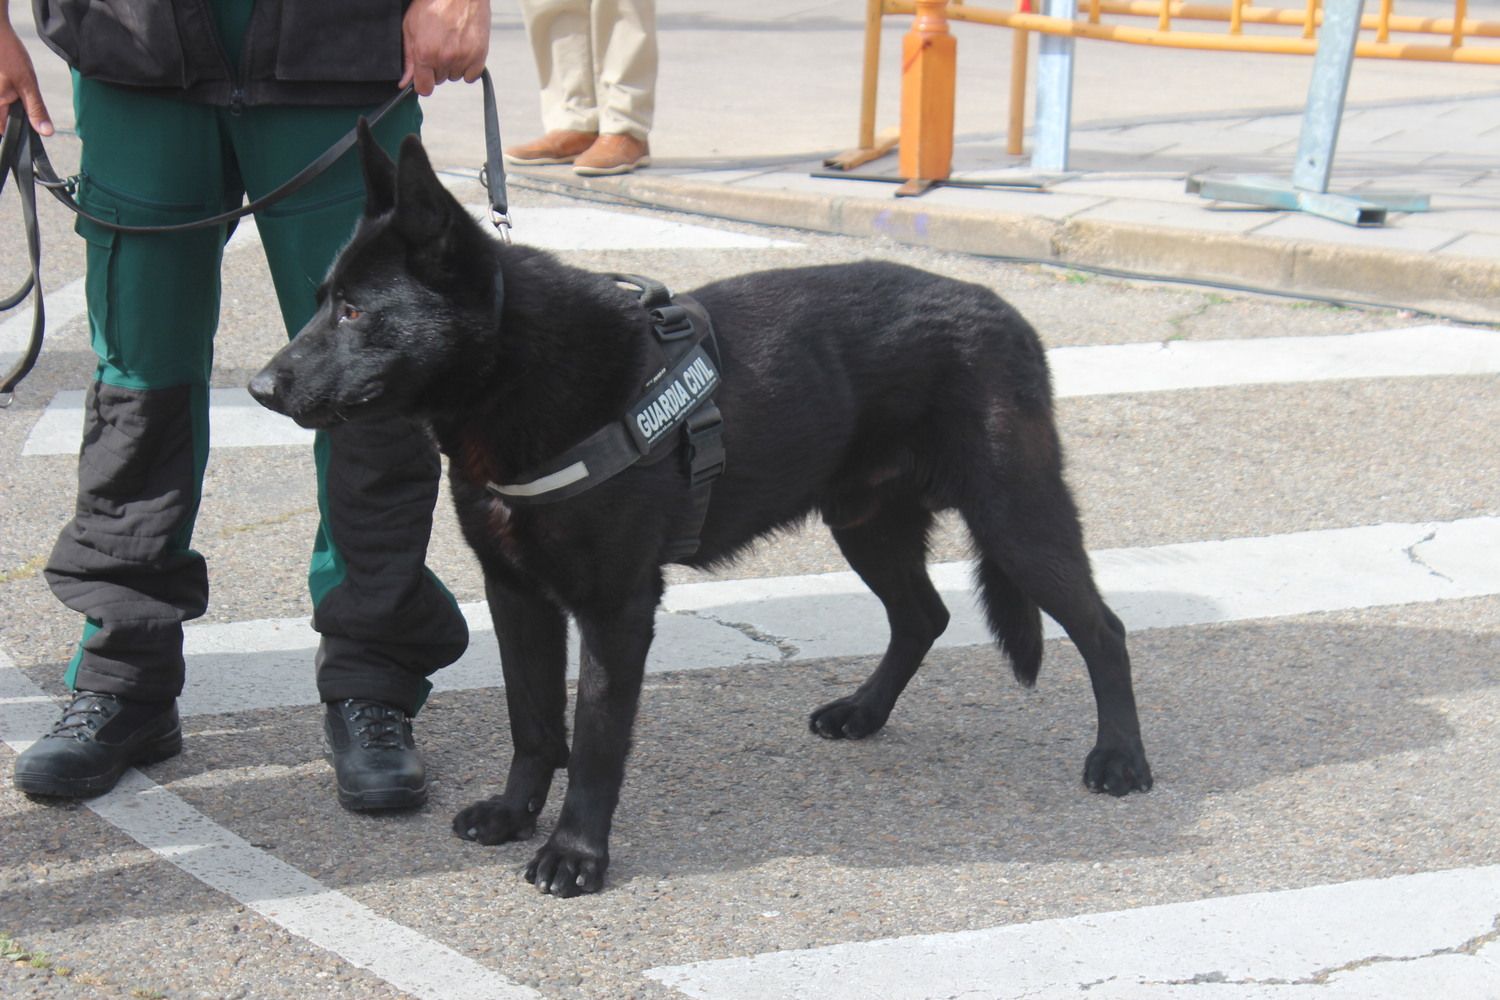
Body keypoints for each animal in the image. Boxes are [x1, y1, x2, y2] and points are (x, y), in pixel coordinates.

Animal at [252, 127, 1152, 899]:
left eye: (357, 311)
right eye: (322, 301)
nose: (261, 387)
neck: (518, 372)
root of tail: (1010, 314)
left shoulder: (617, 609)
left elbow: (596, 739)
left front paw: (576, 853)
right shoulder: (519, 600)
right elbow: (533, 722)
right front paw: (514, 814)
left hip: (1016, 518)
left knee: (1102, 628)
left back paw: (1120, 757)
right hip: (866, 524)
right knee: (923, 615)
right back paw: (864, 712)